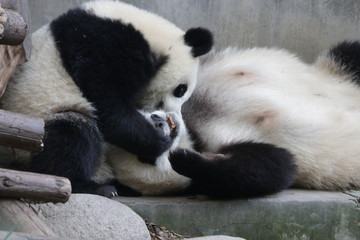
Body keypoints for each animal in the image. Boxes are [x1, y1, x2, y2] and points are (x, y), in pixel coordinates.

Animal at [0, 0, 296, 199]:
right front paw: (154, 141)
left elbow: (273, 164)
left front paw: (189, 161)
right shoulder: (98, 44)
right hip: (35, 131)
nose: (167, 120)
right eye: (180, 89)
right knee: (73, 132)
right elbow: (106, 104)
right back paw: (92, 186)